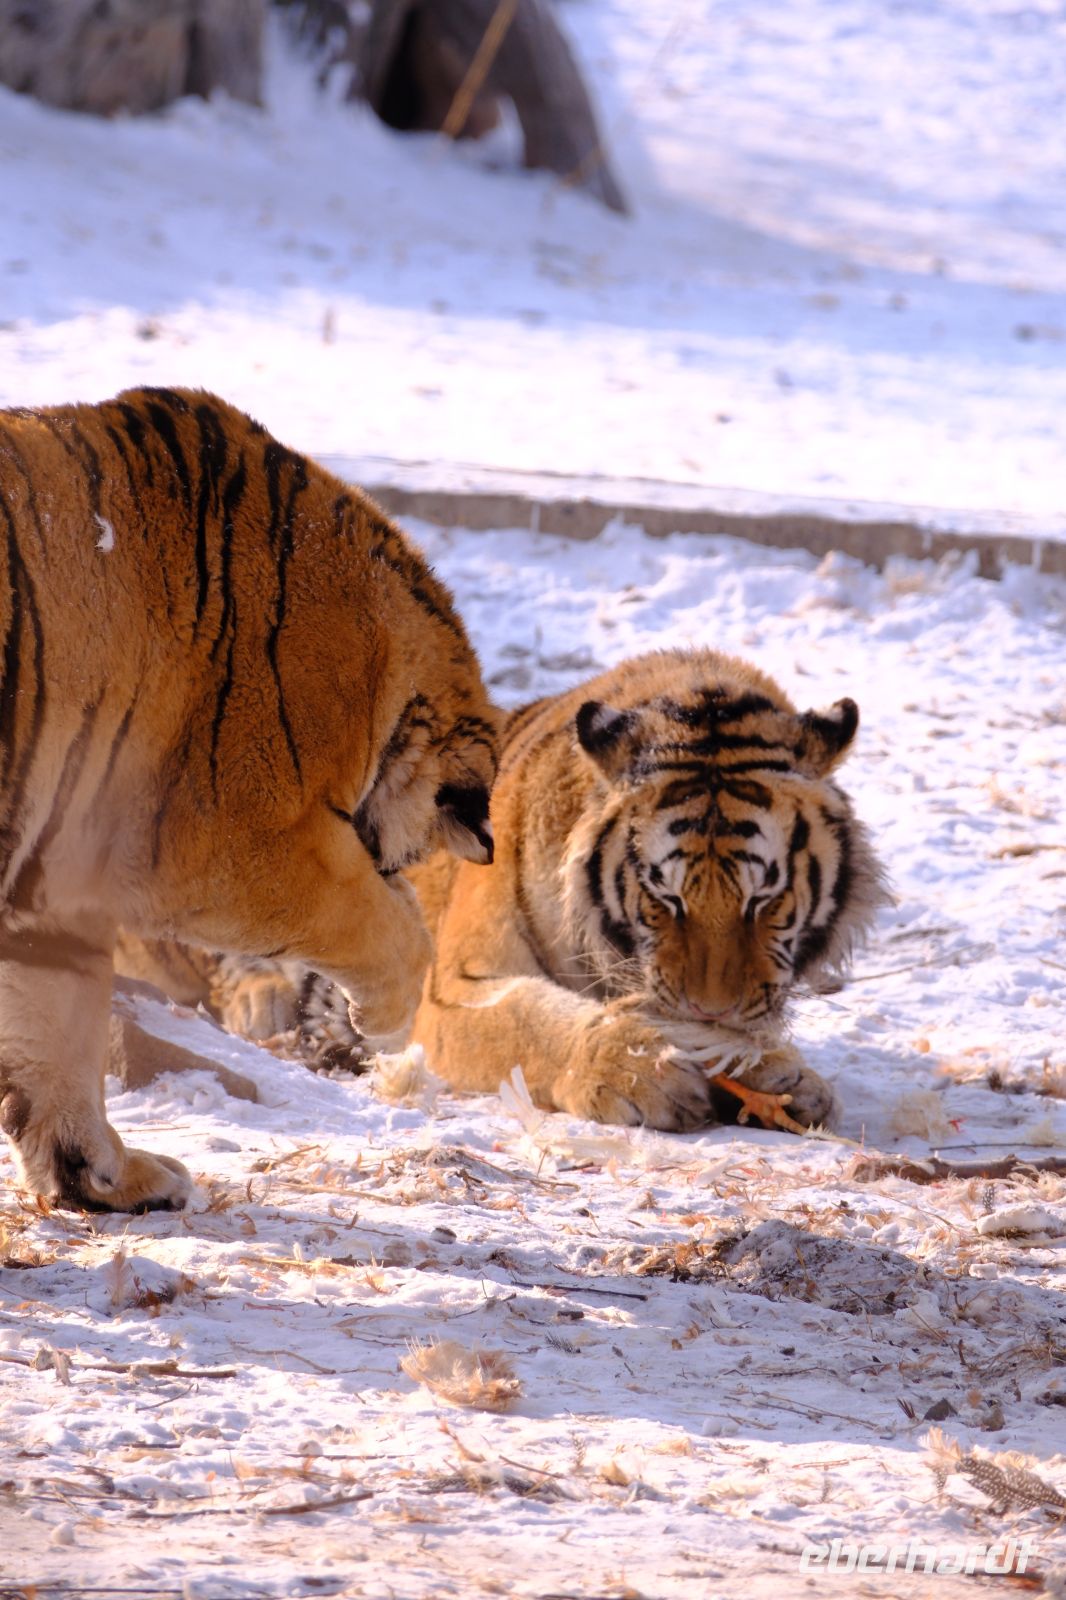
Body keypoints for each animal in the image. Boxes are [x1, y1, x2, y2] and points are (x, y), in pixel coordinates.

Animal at [0, 387, 497, 1213]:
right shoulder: (231, 846)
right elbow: (390, 927)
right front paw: (385, 1021)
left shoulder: (50, 889)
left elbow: (59, 1025)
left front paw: (102, 1175)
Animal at [137, 646, 885, 1131]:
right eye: (663, 899)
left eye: (765, 900)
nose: (712, 1009)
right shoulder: (452, 987)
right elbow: (532, 1021)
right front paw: (638, 1069)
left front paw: (781, 1075)